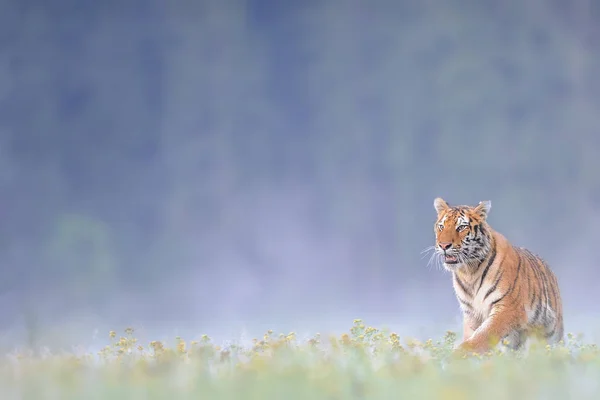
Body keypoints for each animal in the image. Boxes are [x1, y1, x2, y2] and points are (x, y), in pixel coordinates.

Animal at [432, 197, 564, 354]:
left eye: (461, 227)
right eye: (441, 226)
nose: (444, 245)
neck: (469, 272)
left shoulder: (508, 309)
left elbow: (482, 335)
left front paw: (457, 355)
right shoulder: (471, 313)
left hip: (551, 333)